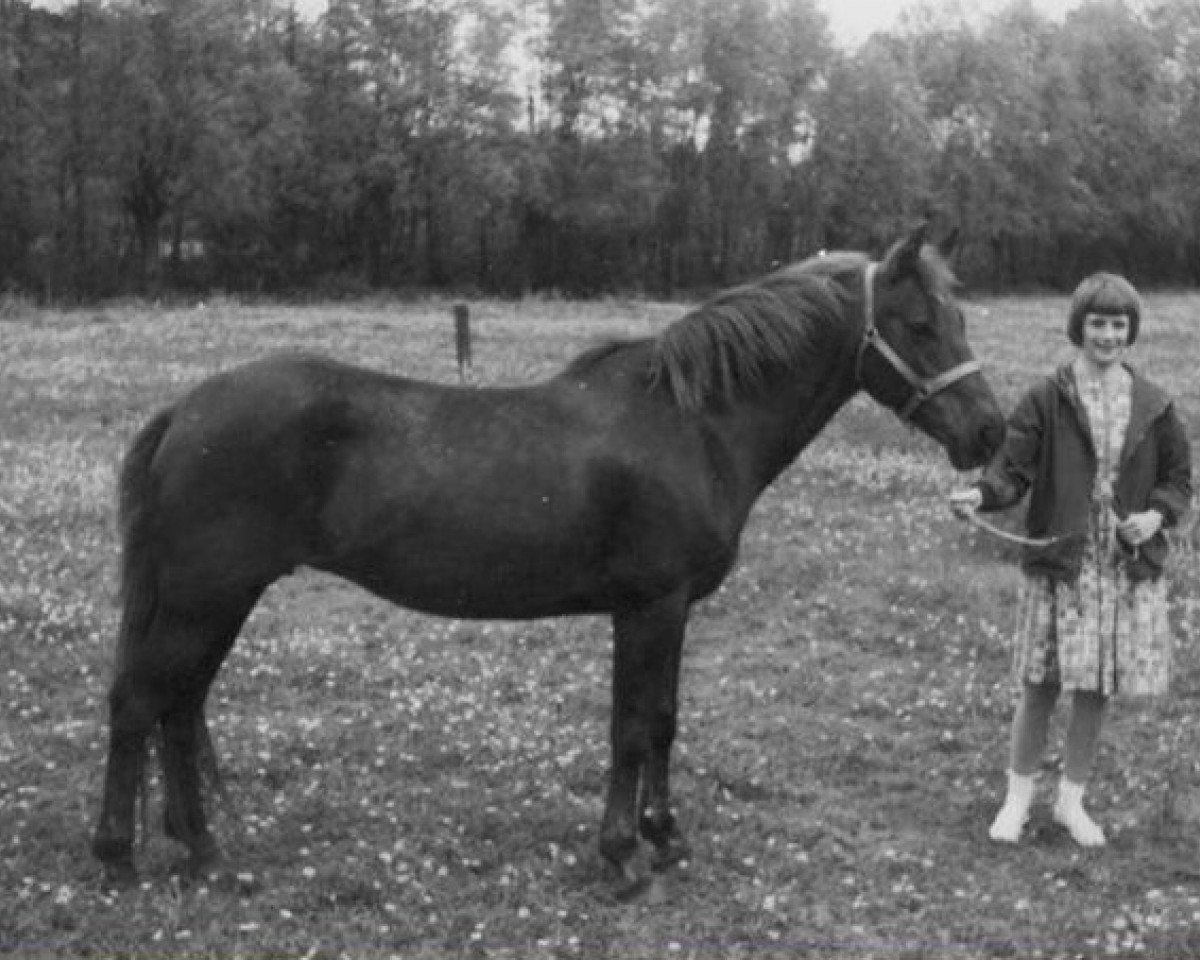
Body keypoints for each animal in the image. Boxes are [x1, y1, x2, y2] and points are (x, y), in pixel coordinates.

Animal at [92, 224, 1005, 893]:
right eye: (918, 324)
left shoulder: (671, 612)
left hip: (218, 598)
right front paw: (621, 856)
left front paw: (665, 838)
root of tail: (186, 410)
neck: (692, 423)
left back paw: (203, 852)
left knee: (178, 710)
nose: (989, 432)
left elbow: (664, 722)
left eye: (958, 318)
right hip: (206, 595)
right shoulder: (649, 606)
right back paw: (121, 855)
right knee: (143, 704)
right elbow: (631, 728)